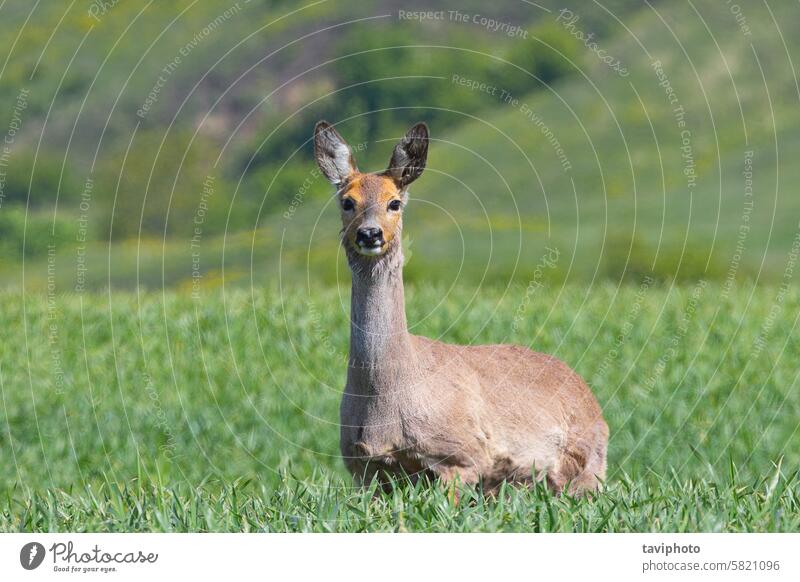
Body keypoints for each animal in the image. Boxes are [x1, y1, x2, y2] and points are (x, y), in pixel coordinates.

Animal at [312, 121, 608, 496]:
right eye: (347, 202)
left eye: (394, 203)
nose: (369, 234)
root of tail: (592, 401)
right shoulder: (364, 468)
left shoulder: (461, 456)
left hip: (586, 469)